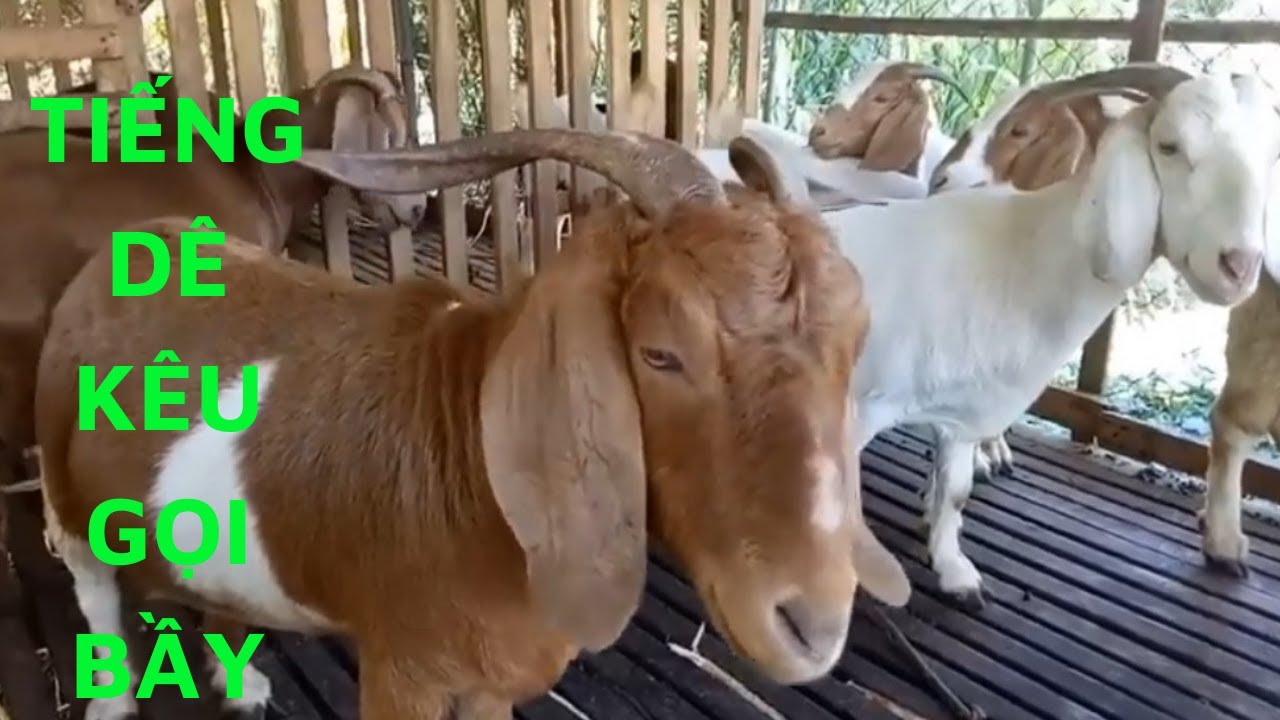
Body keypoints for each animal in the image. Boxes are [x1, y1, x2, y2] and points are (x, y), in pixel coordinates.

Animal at [36, 128, 910, 720]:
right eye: (661, 353)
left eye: (856, 343)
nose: (812, 625)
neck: (473, 471)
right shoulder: (402, 673)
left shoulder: (490, 685)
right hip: (58, 479)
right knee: (93, 590)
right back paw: (112, 700)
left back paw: (243, 682)